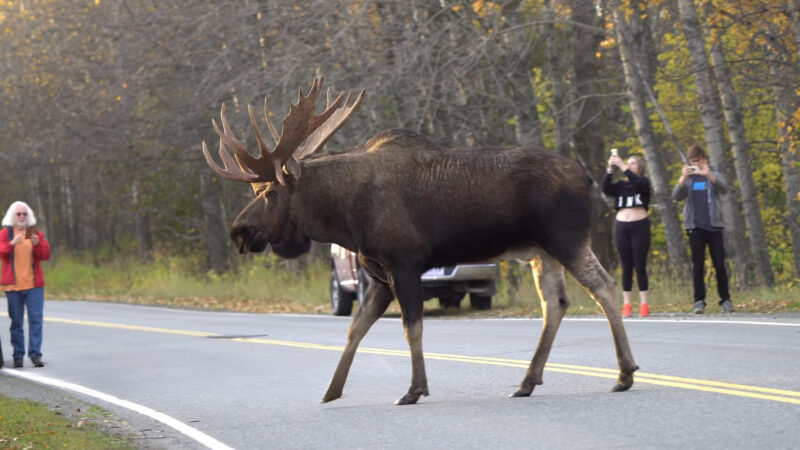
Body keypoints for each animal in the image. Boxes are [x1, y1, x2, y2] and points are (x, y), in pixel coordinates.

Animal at [203, 76, 640, 404]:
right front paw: (331, 391)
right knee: (556, 302)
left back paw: (624, 373)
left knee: (605, 286)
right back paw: (527, 381)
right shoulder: (378, 275)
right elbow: (356, 328)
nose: (239, 232)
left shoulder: (403, 263)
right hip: (540, 252)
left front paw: (414, 389)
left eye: (269, 193)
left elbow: (411, 326)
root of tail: (588, 179)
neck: (344, 217)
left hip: (566, 238)